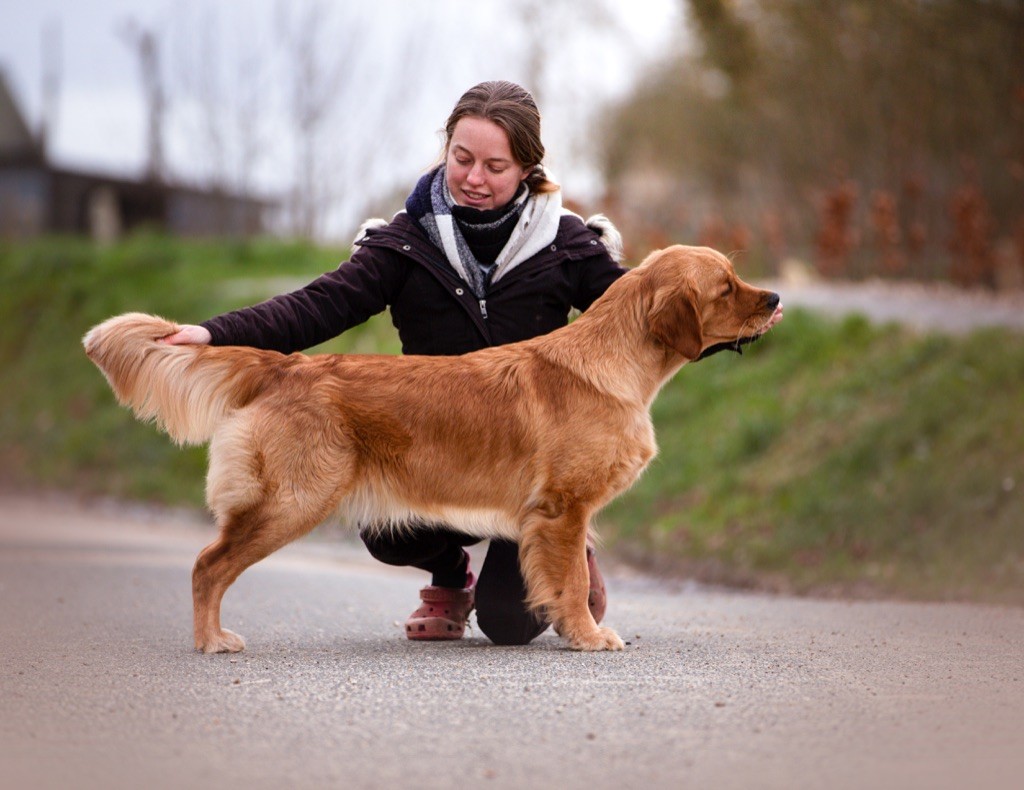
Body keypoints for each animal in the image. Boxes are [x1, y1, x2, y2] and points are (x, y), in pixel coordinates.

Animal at [83, 245, 782, 655]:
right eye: (725, 287)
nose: (776, 298)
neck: (615, 362)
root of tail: (285, 365)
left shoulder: (555, 518)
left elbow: (568, 580)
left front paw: (573, 628)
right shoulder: (563, 509)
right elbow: (575, 579)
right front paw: (588, 635)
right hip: (293, 500)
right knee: (207, 565)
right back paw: (211, 640)